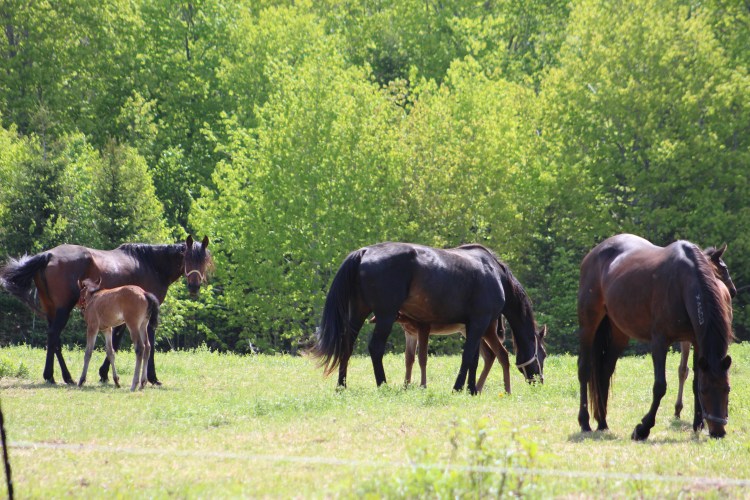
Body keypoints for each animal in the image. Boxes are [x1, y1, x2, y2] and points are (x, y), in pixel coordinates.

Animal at [0, 235, 211, 385]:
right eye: (187, 258)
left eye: (203, 261)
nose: (194, 287)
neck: (151, 264)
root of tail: (49, 255)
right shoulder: (145, 317)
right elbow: (144, 343)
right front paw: (151, 378)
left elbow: (115, 342)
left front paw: (104, 374)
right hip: (62, 310)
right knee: (53, 336)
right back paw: (53, 376)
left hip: (53, 311)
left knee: (55, 340)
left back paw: (65, 377)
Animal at [310, 242, 546, 395]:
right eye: (542, 354)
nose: (539, 381)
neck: (496, 274)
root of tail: (365, 251)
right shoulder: (479, 322)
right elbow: (467, 357)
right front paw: (459, 388)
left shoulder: (472, 325)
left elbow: (474, 359)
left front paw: (470, 389)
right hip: (385, 315)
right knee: (375, 348)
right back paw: (383, 384)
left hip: (358, 312)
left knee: (347, 346)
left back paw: (341, 386)